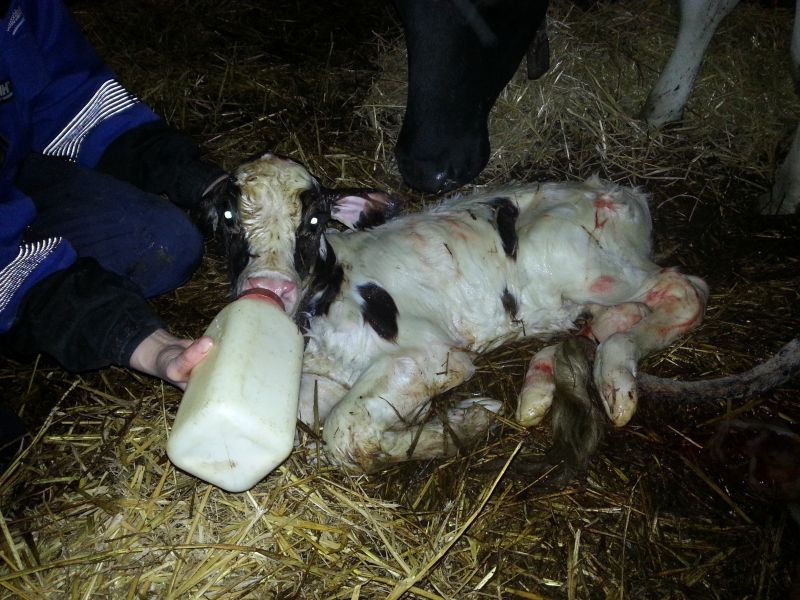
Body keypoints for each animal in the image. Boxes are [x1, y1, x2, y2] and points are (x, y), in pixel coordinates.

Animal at [201, 152, 796, 478]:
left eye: (314, 220)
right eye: (227, 216)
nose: (267, 287)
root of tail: (623, 192)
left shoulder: (429, 354)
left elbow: (343, 431)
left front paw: (466, 421)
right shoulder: (320, 379)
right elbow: (326, 418)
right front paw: (447, 427)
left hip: (578, 260)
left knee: (684, 289)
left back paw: (616, 378)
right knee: (615, 316)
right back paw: (547, 380)